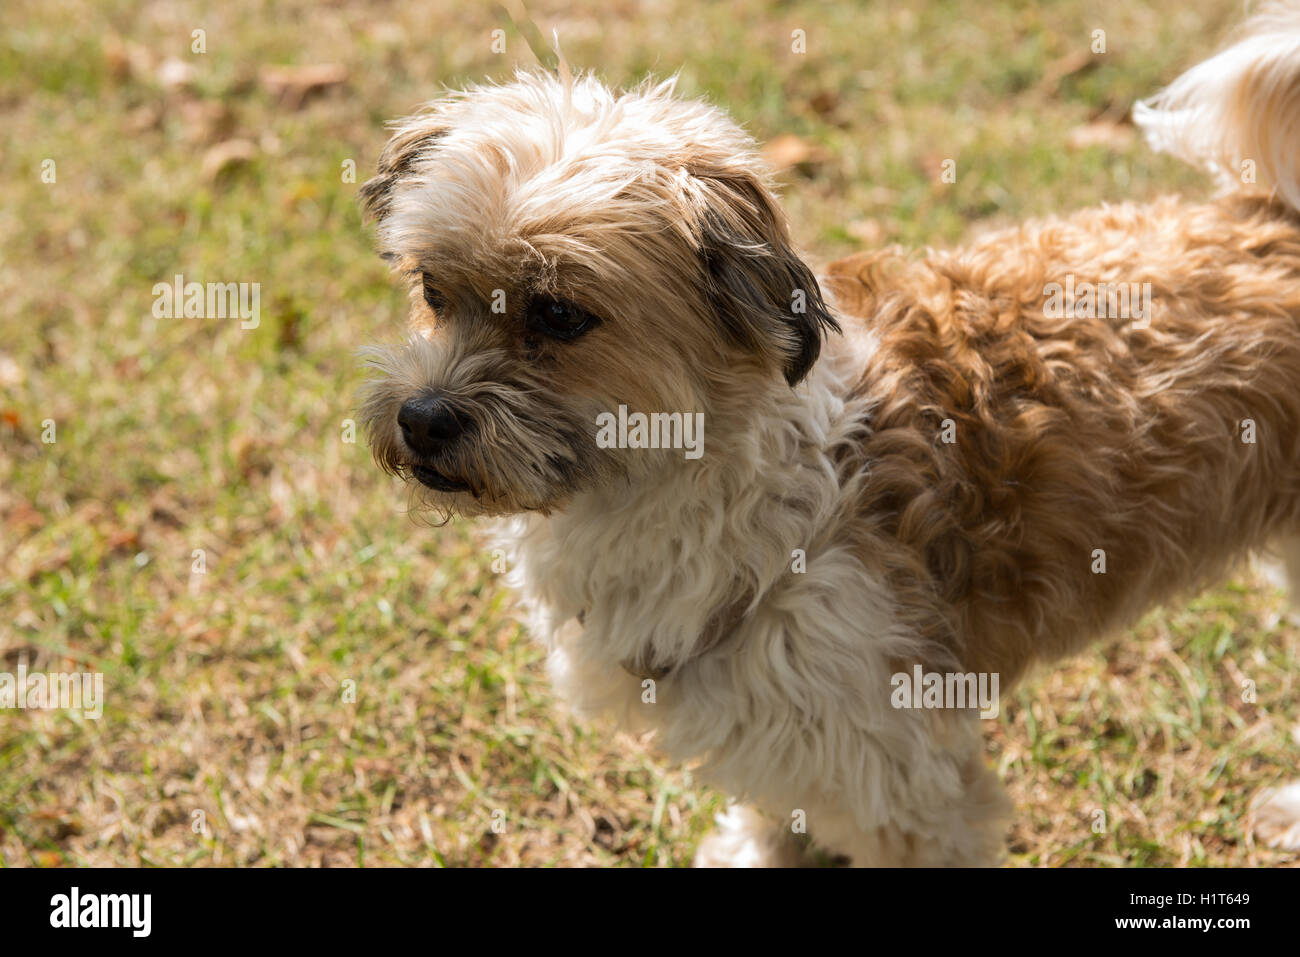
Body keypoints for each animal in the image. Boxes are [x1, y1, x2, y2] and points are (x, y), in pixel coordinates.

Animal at [361, 3, 1300, 863]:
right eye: (433, 290)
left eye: (558, 314)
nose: (422, 418)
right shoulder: (784, 726)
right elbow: (783, 808)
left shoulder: (902, 775)